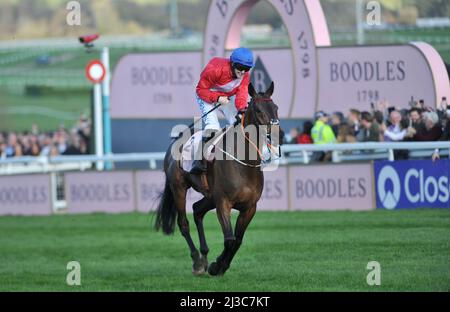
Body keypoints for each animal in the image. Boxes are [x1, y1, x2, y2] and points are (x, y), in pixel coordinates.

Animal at [155, 82, 282, 276]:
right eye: (259, 110)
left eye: (276, 108)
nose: (278, 134)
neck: (244, 164)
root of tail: (173, 144)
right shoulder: (223, 202)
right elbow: (230, 238)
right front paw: (217, 266)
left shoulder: (249, 207)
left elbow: (237, 240)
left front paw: (221, 264)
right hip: (179, 188)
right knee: (183, 223)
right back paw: (197, 262)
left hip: (209, 196)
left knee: (197, 210)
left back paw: (204, 255)